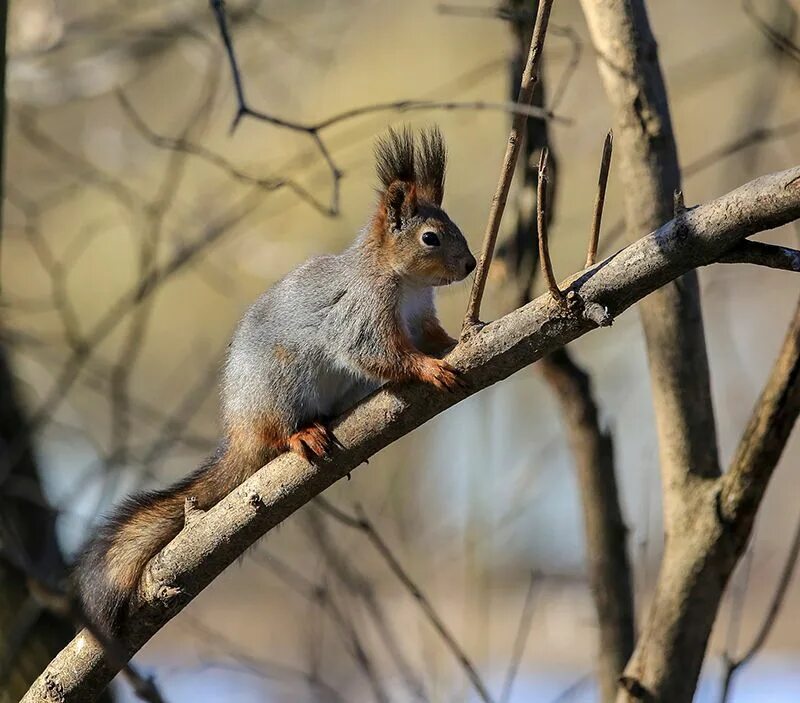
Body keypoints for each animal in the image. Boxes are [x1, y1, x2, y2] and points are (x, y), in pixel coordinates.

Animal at [75, 126, 476, 640]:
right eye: (431, 238)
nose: (470, 265)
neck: (402, 282)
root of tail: (240, 429)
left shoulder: (420, 316)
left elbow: (429, 337)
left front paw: (459, 341)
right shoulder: (361, 313)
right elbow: (377, 353)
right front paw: (430, 368)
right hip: (280, 387)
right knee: (276, 433)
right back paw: (300, 435)